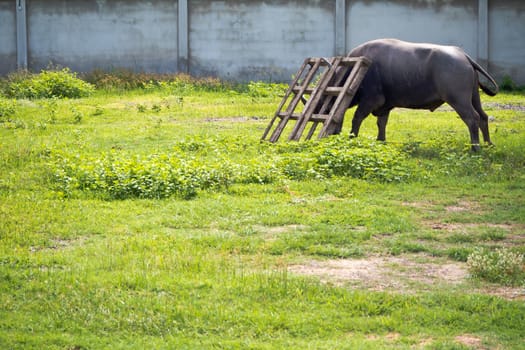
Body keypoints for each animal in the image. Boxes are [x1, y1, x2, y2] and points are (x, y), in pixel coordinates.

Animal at [334, 39, 498, 151]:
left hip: (459, 100)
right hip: (474, 97)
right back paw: (488, 144)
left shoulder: (371, 100)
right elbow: (381, 123)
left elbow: (357, 118)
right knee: (483, 116)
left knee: (472, 118)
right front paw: (381, 140)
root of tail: (463, 56)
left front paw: (352, 137)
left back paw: (475, 147)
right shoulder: (385, 105)